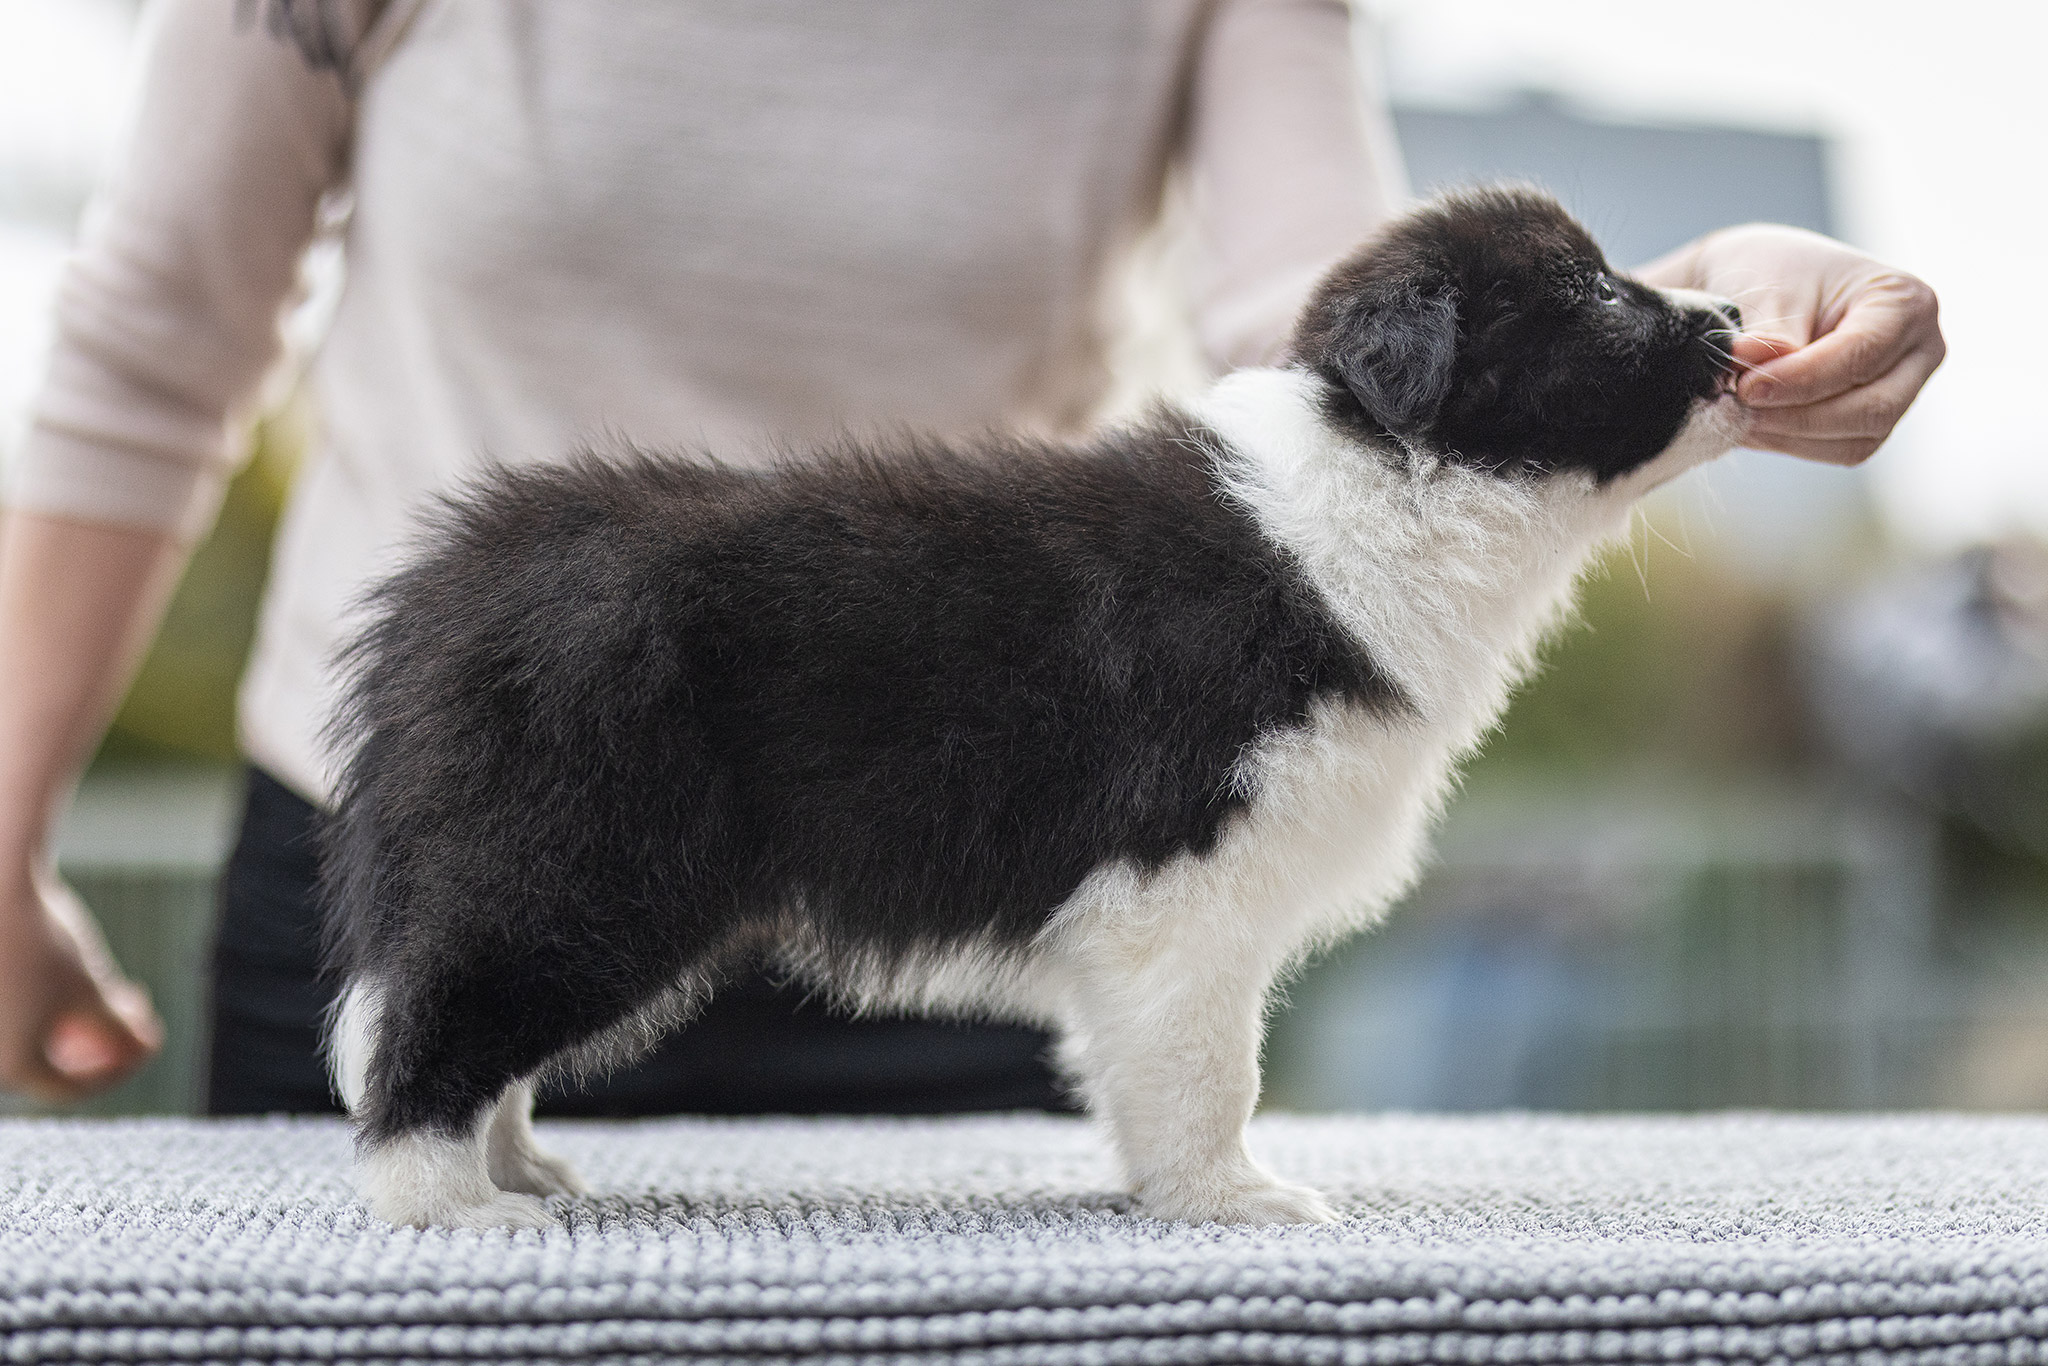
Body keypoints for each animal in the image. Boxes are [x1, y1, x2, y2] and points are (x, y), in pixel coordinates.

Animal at [319, 184, 1744, 1228]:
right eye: (1588, 293)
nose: (1734, 309)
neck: (1381, 481)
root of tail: (448, 583)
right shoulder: (1186, 876)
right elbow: (1210, 1064)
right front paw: (1230, 1199)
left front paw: (1171, 1187)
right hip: (588, 852)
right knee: (443, 1012)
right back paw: (449, 1202)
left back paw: (515, 1164)